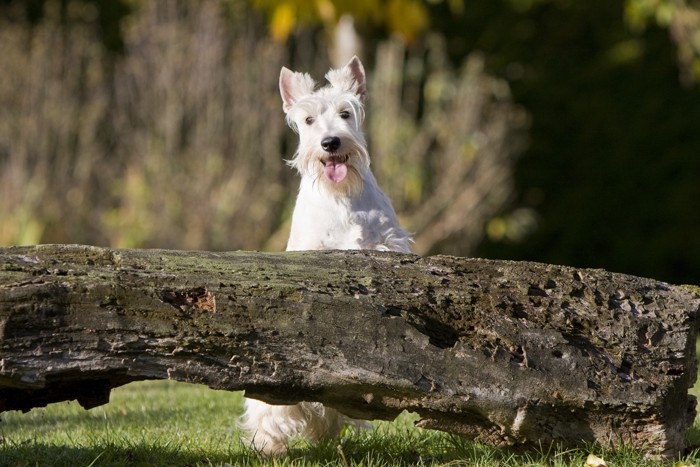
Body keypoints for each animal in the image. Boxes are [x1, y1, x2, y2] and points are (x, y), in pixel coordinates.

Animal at [243, 55, 412, 458]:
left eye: (345, 113)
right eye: (308, 120)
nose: (330, 142)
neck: (341, 194)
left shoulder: (390, 241)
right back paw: (270, 445)